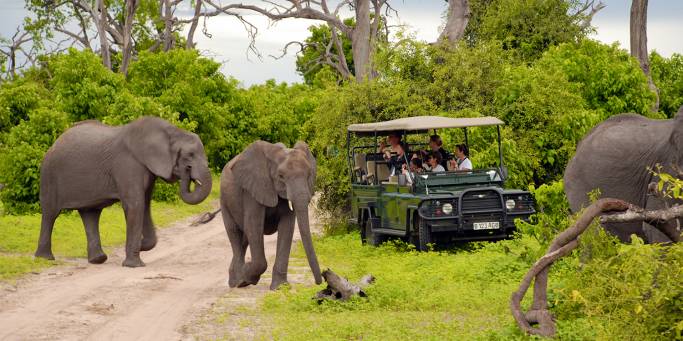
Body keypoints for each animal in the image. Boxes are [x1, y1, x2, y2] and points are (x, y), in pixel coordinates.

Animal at [36, 115, 212, 266]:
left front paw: (140, 245)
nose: (187, 171)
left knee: (90, 214)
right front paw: (134, 264)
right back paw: (44, 258)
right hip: (49, 175)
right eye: (189, 155)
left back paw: (98, 260)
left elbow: (145, 205)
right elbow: (135, 205)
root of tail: (55, 142)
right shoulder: (127, 164)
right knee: (50, 213)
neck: (171, 131)